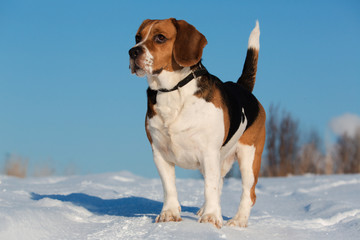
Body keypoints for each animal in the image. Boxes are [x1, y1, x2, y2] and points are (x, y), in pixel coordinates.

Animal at [128, 17, 266, 228]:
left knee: (248, 193)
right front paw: (169, 214)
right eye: (138, 37)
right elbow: (169, 187)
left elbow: (210, 187)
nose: (133, 51)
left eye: (160, 37)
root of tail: (243, 88)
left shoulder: (208, 152)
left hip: (249, 157)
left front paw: (210, 218)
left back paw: (238, 220)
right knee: (220, 183)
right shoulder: (160, 152)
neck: (172, 90)